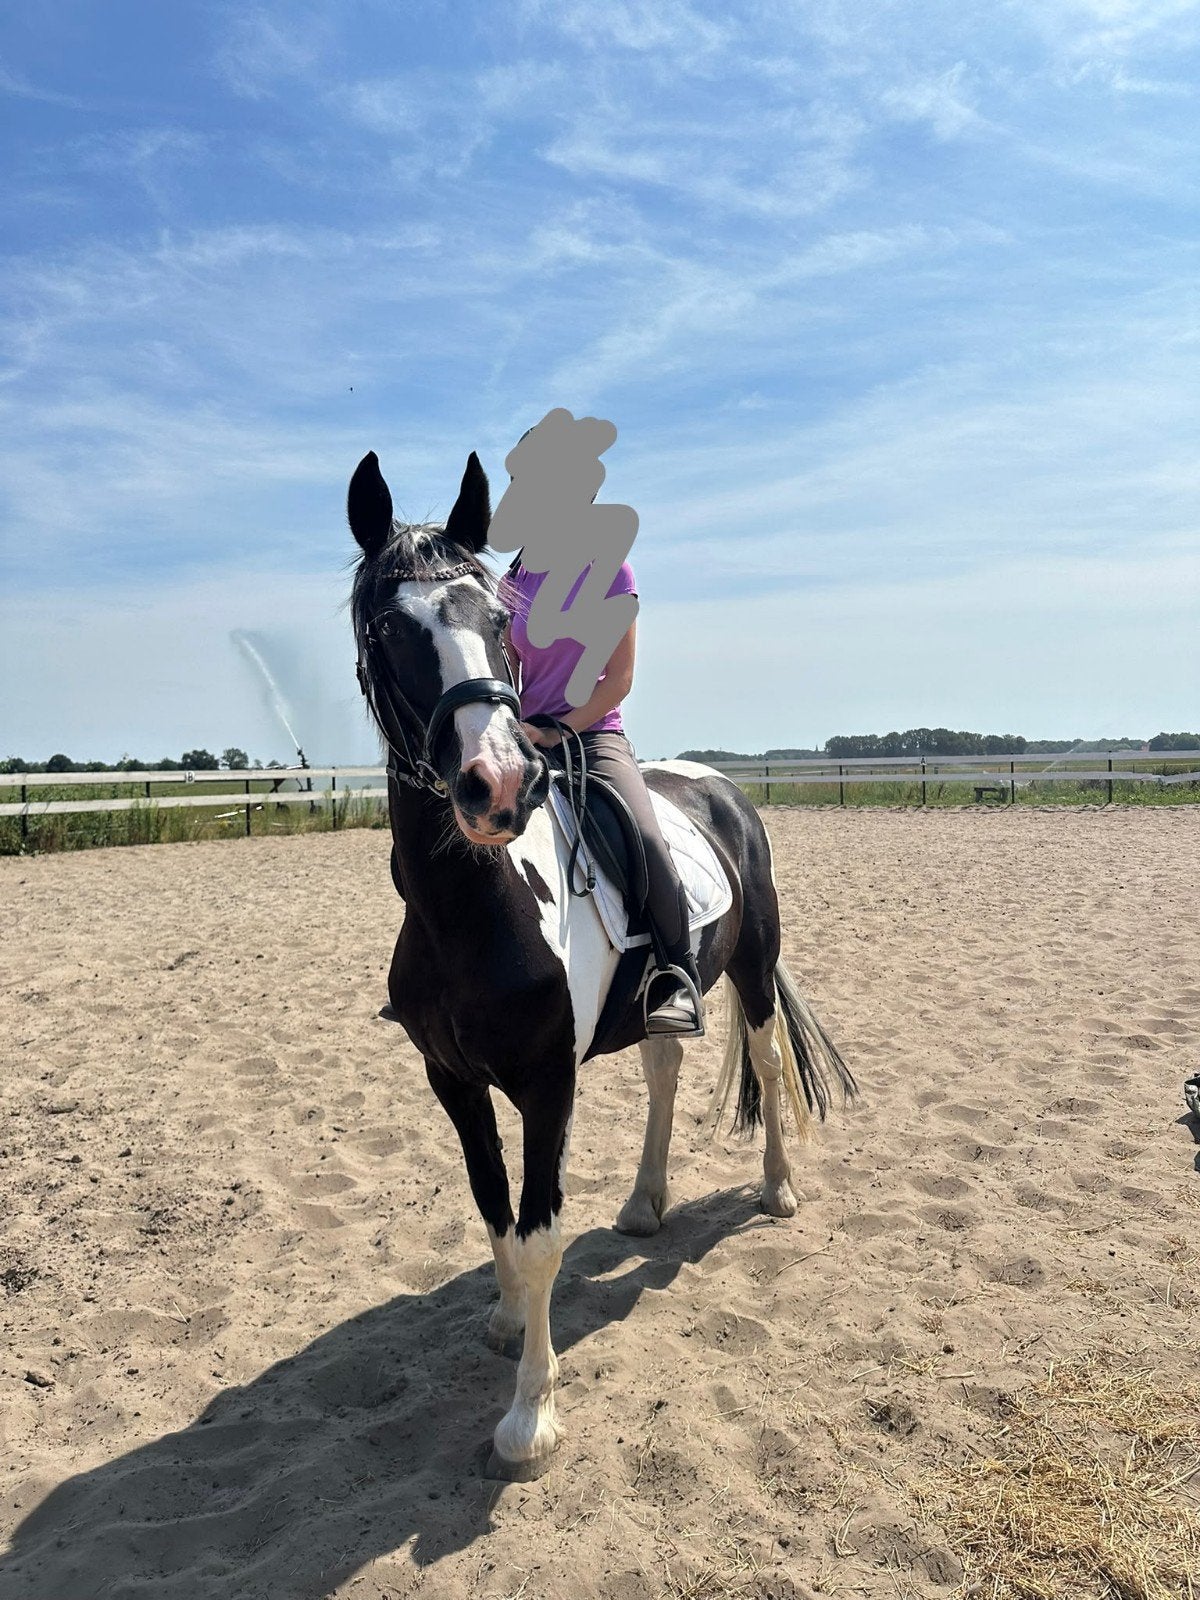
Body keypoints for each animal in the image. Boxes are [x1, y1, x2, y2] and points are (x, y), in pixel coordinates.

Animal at [347, 448, 856, 1481]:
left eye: (497, 622)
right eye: (388, 627)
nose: (499, 784)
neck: (472, 910)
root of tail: (718, 783)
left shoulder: (547, 1081)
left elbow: (541, 1231)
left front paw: (529, 1417)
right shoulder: (449, 1077)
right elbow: (492, 1204)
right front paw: (507, 1322)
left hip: (754, 967)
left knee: (768, 1056)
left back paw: (779, 1191)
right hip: (670, 995)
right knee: (664, 1065)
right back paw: (644, 1205)